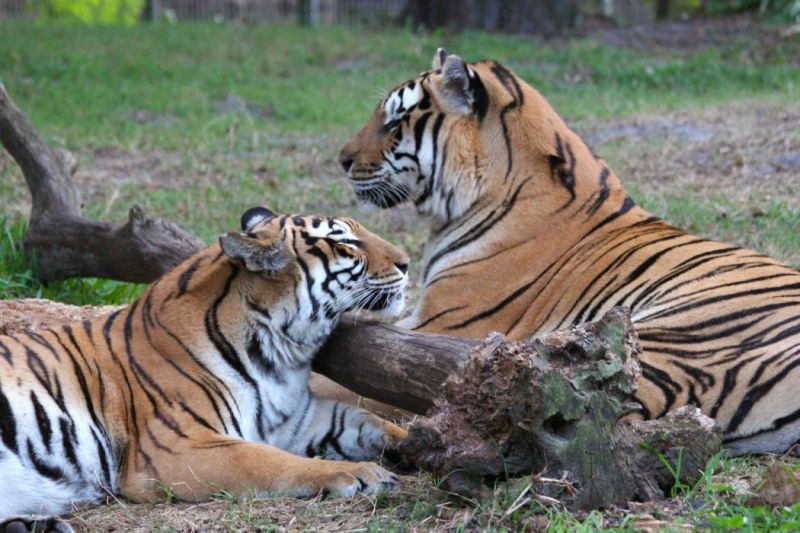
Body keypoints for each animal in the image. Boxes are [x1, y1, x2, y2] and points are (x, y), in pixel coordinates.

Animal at [0, 207, 410, 526]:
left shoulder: (297, 421)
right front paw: (362, 473)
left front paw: (418, 442)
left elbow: (371, 421)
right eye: (346, 244)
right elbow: (270, 462)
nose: (406, 262)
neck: (282, 357)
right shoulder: (178, 447)